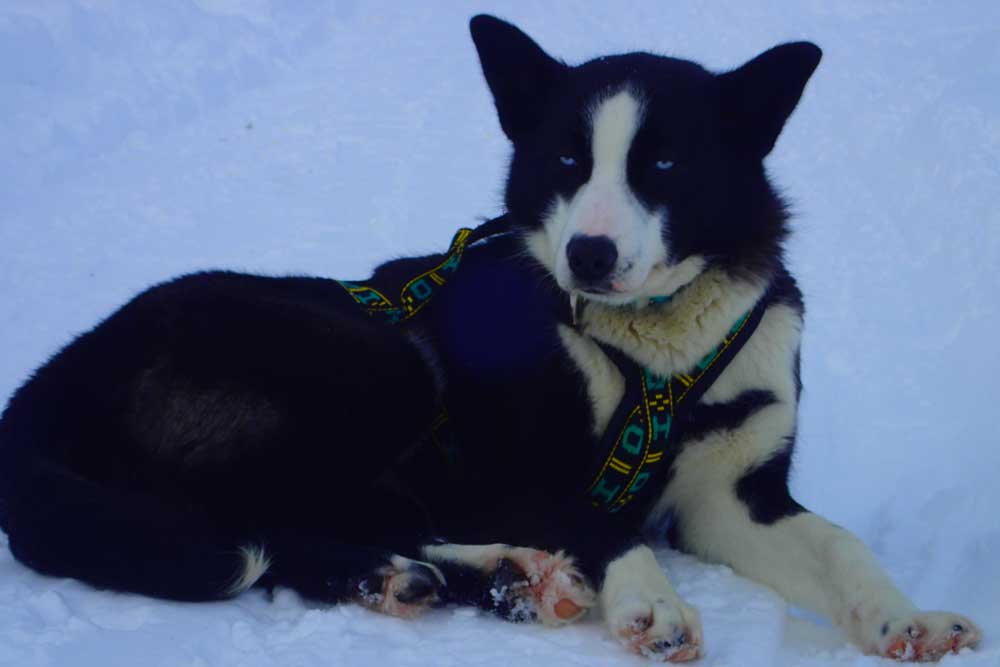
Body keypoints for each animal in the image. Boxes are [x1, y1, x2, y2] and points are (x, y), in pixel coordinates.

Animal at [0, 14, 984, 664]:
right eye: (567, 161)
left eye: (663, 162)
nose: (589, 253)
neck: (655, 348)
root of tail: (57, 375)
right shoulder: (508, 475)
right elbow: (596, 520)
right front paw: (651, 600)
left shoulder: (733, 495)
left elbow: (843, 545)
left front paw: (907, 619)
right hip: (377, 365)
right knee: (279, 522)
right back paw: (487, 571)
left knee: (333, 525)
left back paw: (493, 577)